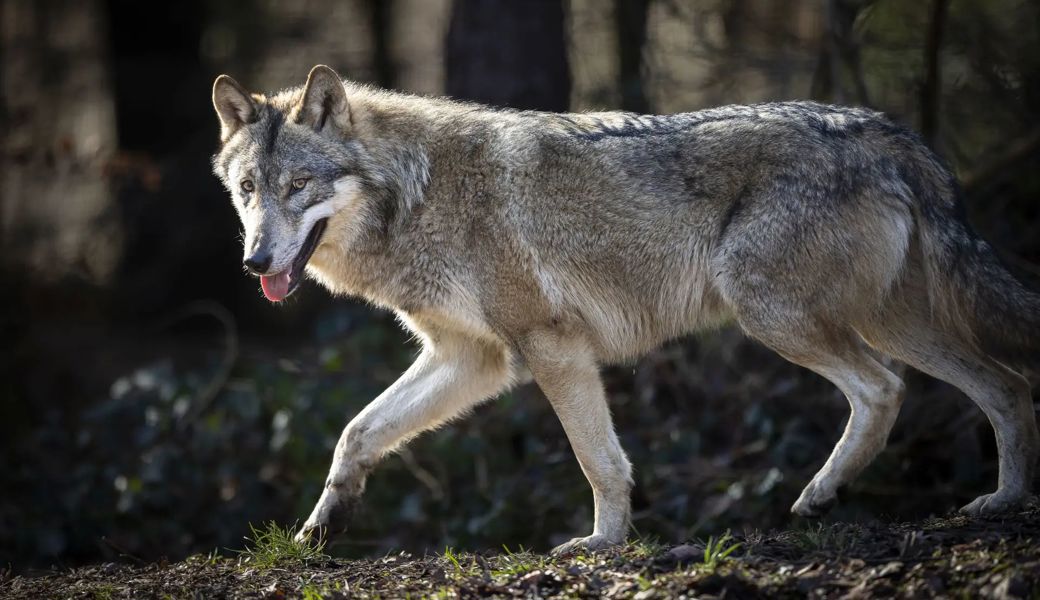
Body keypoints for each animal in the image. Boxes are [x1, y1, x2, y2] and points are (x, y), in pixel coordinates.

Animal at [211, 64, 1040, 553]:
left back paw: (823, 493)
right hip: (888, 321)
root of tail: (889, 131)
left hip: (776, 316)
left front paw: (603, 545)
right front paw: (321, 528)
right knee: (1005, 388)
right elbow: (358, 432)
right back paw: (1002, 500)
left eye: (298, 188)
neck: (417, 195)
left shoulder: (549, 348)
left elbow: (600, 461)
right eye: (249, 190)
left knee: (887, 388)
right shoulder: (474, 359)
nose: (254, 262)